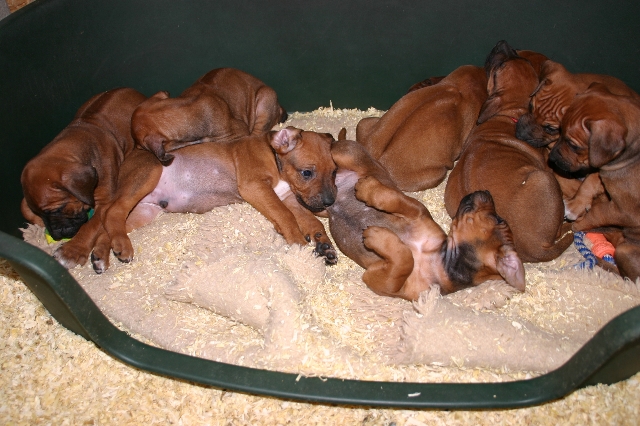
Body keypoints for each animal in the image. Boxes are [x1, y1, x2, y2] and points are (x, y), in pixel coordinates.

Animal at [21, 87, 147, 270]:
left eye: (58, 210)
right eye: (42, 213)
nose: (56, 235)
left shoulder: (105, 201)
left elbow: (90, 226)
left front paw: (71, 251)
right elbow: (24, 207)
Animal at [98, 126, 338, 273]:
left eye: (335, 171)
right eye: (307, 173)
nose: (329, 202)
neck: (274, 157)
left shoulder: (287, 196)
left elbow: (310, 220)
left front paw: (324, 244)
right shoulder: (255, 186)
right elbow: (285, 215)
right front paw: (299, 246)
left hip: (144, 211)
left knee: (107, 224)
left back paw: (101, 255)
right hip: (149, 174)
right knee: (112, 211)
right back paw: (122, 246)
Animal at [325, 130, 525, 300]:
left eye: (499, 219)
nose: (486, 191)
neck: (442, 263)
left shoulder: (381, 281)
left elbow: (405, 258)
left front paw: (377, 236)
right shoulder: (417, 211)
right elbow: (392, 199)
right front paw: (368, 188)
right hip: (344, 155)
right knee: (331, 148)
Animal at [444, 40, 573, 263]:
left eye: (523, 59)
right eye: (500, 66)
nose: (502, 42)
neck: (509, 112)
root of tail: (537, 249)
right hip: (545, 179)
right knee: (559, 228)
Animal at [548, 82, 640, 280]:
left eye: (573, 145)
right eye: (559, 130)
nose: (551, 159)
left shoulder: (625, 210)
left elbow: (598, 212)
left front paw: (577, 224)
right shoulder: (603, 167)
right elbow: (590, 180)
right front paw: (576, 205)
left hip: (625, 249)